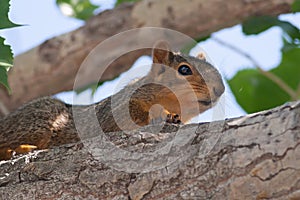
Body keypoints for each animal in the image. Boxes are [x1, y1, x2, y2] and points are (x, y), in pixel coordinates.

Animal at [0, 41, 225, 161]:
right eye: (184, 70)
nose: (220, 89)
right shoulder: (118, 107)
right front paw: (165, 115)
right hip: (36, 122)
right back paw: (19, 148)